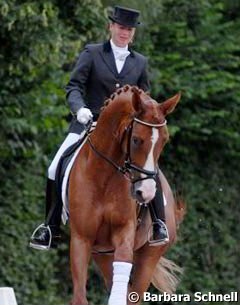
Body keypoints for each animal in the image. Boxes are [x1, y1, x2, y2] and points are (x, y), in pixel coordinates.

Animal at [68, 85, 183, 304]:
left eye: (164, 140)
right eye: (136, 140)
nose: (145, 193)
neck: (104, 176)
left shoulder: (124, 234)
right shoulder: (81, 239)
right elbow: (79, 296)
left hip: (149, 255)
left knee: (134, 293)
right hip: (102, 253)